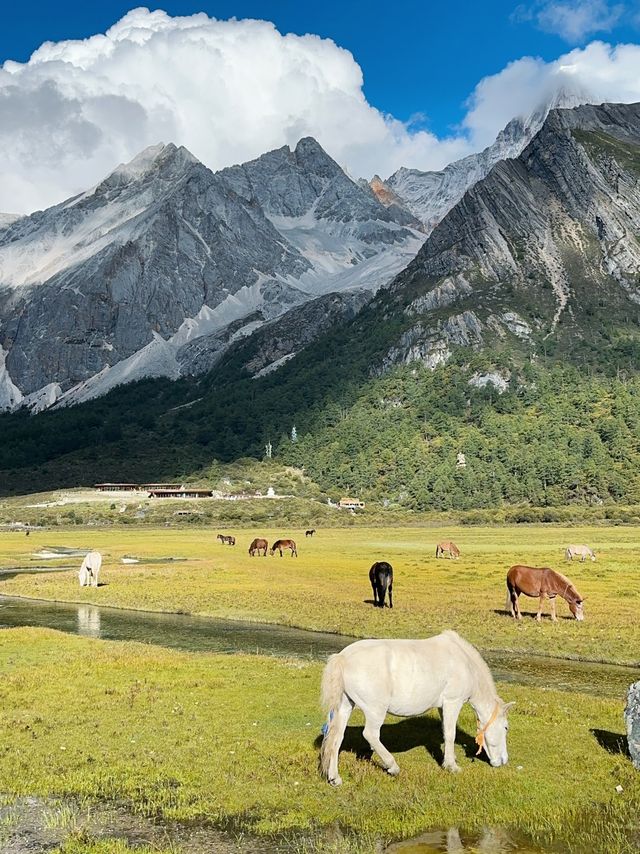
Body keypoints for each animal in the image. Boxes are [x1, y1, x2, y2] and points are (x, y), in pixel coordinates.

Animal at [320, 632, 516, 784]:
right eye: (506, 727)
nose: (504, 760)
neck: (465, 663)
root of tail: (343, 658)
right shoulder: (453, 702)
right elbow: (450, 734)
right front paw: (451, 766)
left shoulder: (443, 706)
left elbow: (445, 731)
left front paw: (449, 759)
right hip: (376, 710)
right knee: (370, 734)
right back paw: (392, 766)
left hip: (344, 706)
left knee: (336, 737)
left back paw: (334, 778)